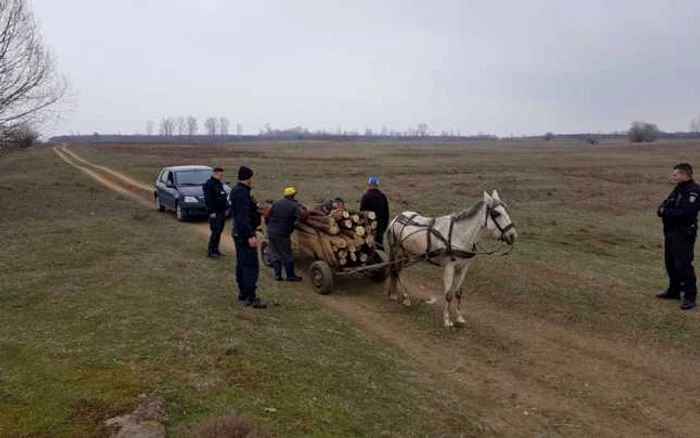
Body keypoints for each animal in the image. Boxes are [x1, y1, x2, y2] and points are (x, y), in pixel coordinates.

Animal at [386, 190, 516, 326]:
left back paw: (398, 294)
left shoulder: (463, 267)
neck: (458, 235)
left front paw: (459, 317)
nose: (512, 235)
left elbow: (458, 292)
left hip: (410, 256)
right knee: (396, 270)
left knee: (398, 270)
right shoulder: (449, 267)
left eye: (506, 210)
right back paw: (405, 297)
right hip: (399, 253)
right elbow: (448, 294)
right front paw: (447, 319)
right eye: (496, 213)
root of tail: (396, 219)